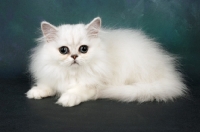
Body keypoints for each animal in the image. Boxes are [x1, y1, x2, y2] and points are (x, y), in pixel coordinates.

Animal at [25, 17, 187, 106]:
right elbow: (48, 85)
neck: (74, 74)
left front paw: (67, 99)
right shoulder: (52, 76)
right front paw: (36, 92)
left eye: (83, 49)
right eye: (63, 50)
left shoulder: (93, 85)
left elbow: (77, 90)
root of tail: (169, 74)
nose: (75, 56)